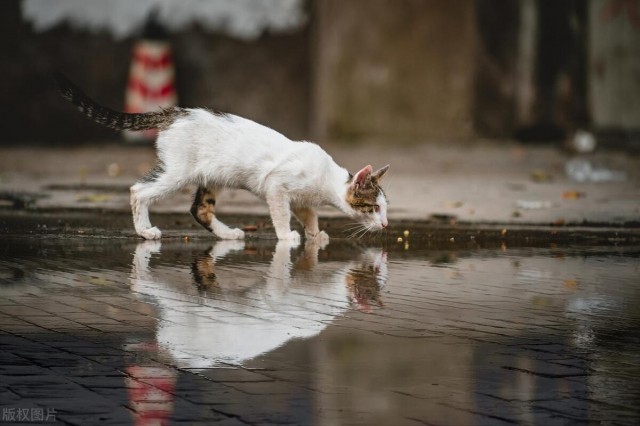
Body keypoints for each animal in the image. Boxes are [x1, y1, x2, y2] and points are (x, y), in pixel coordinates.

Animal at [55, 74, 388, 241]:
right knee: (139, 190)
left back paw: (228, 235)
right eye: (373, 208)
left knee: (199, 209)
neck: (325, 182)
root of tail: (176, 112)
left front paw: (316, 234)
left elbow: (309, 214)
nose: (385, 225)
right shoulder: (277, 187)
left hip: (209, 176)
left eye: (385, 209)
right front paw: (287, 236)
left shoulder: (302, 200)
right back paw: (145, 231)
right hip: (178, 171)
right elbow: (281, 215)